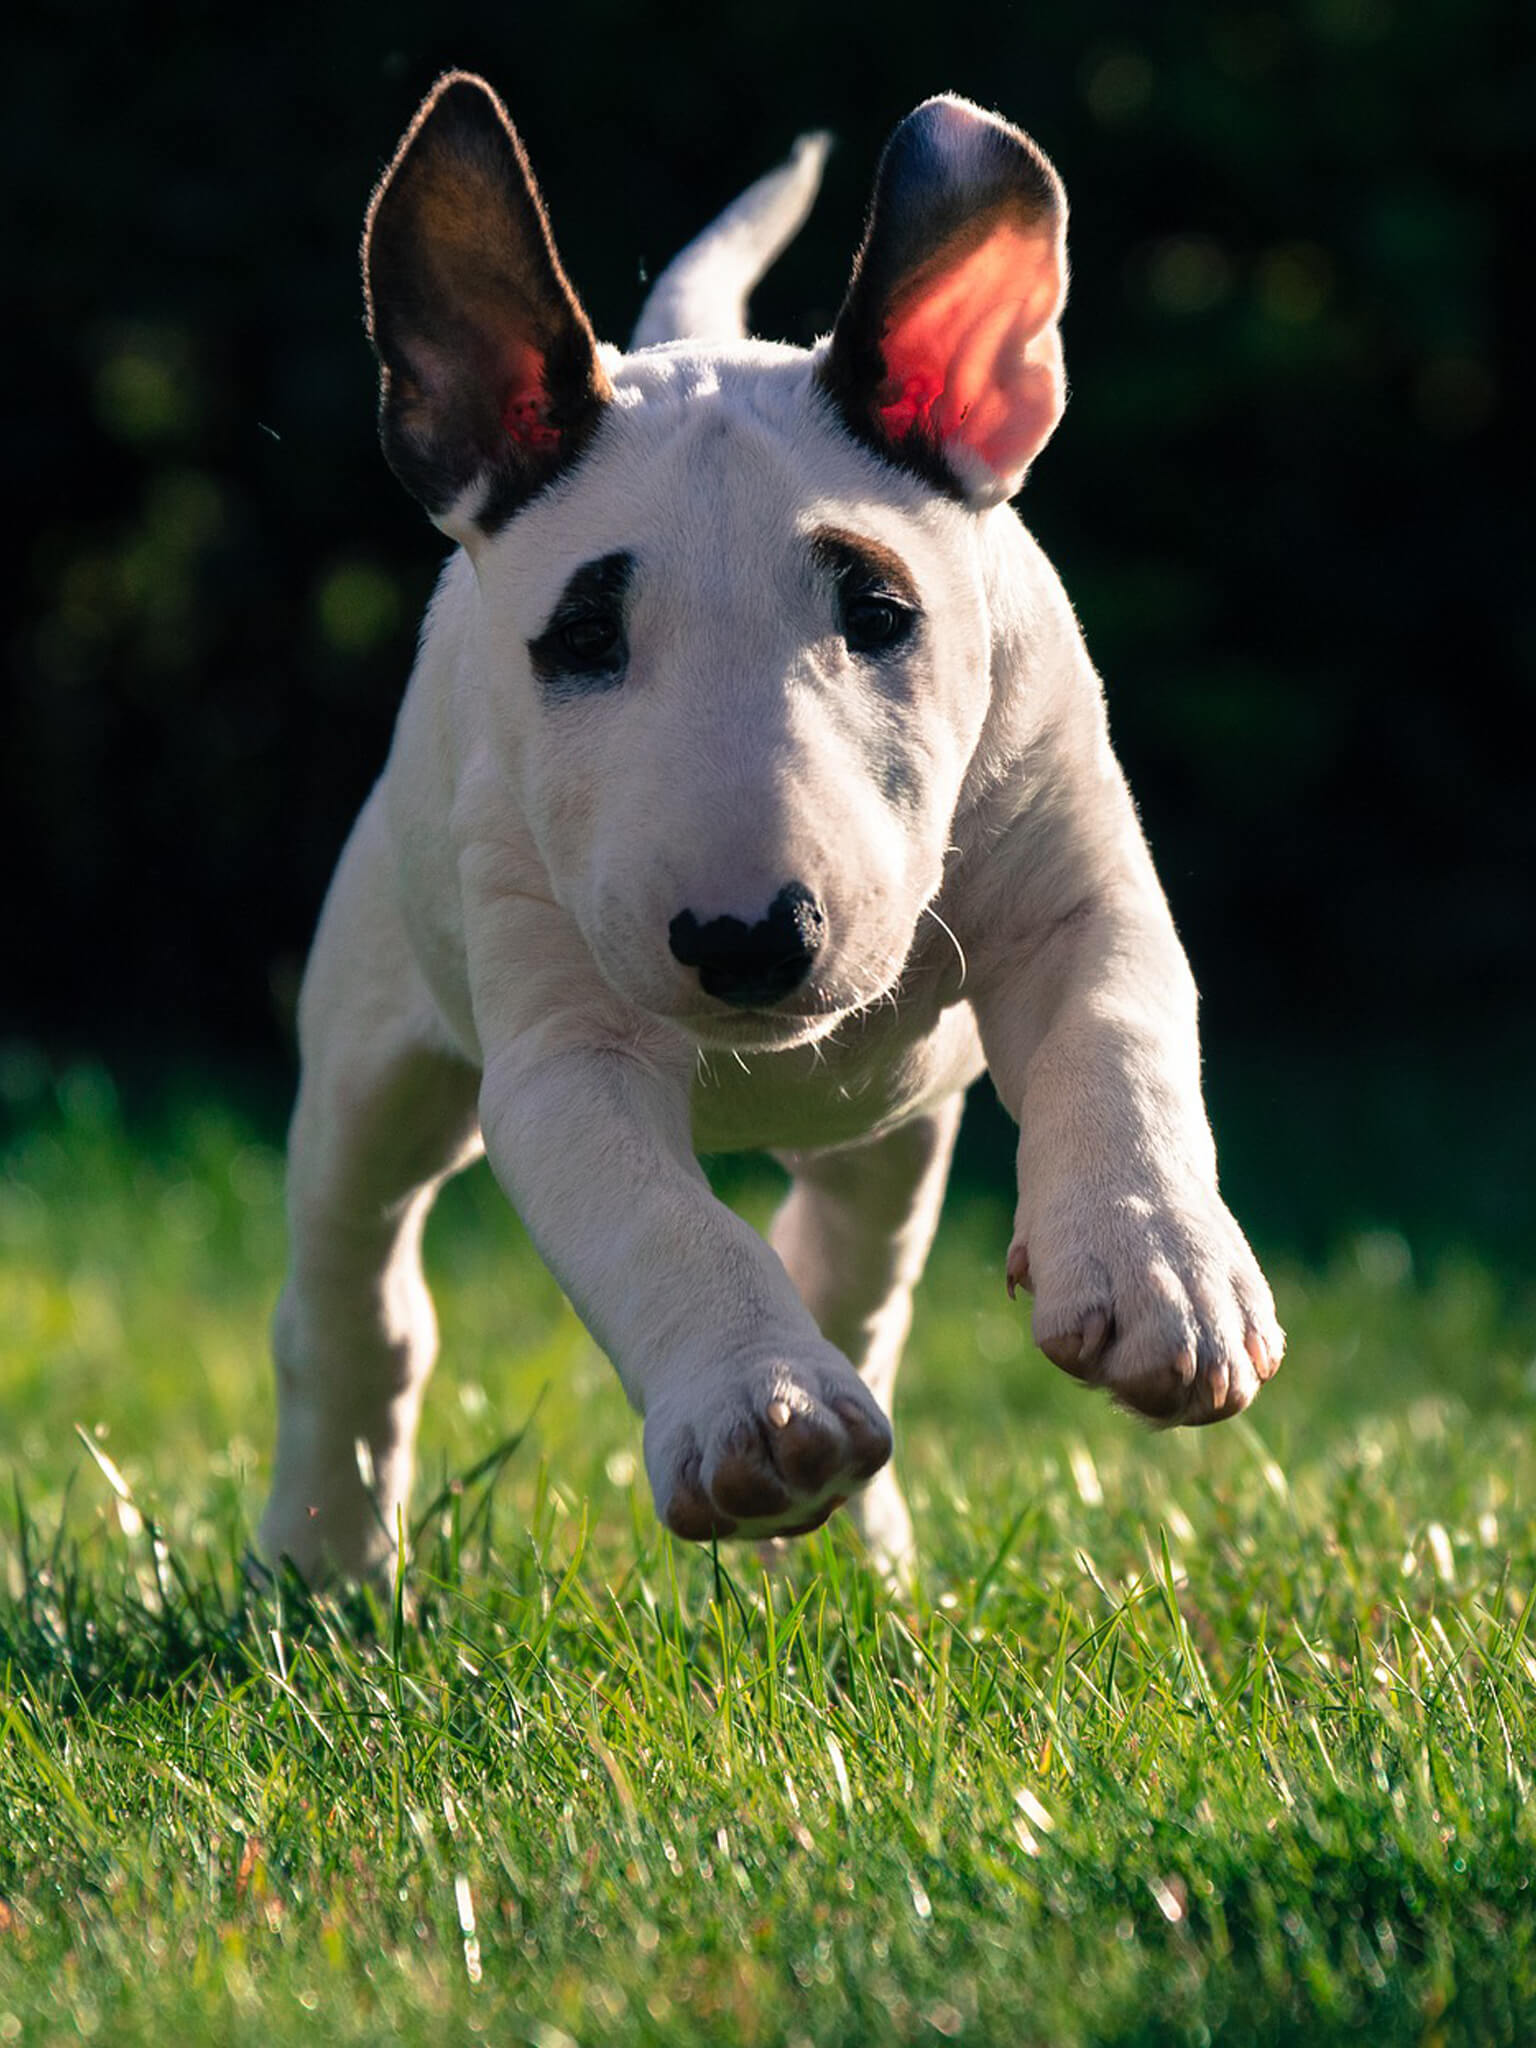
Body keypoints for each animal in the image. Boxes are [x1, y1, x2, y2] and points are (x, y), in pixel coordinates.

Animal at [256, 75, 1286, 1581]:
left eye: (879, 612)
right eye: (583, 639)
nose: (749, 940)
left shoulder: (1078, 887)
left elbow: (1120, 1042)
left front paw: (1163, 1271)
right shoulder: (563, 1046)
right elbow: (659, 1222)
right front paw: (760, 1410)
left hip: (892, 1130)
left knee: (855, 1264)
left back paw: (860, 1549)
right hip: (369, 1047)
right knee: (352, 1294)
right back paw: (319, 1549)